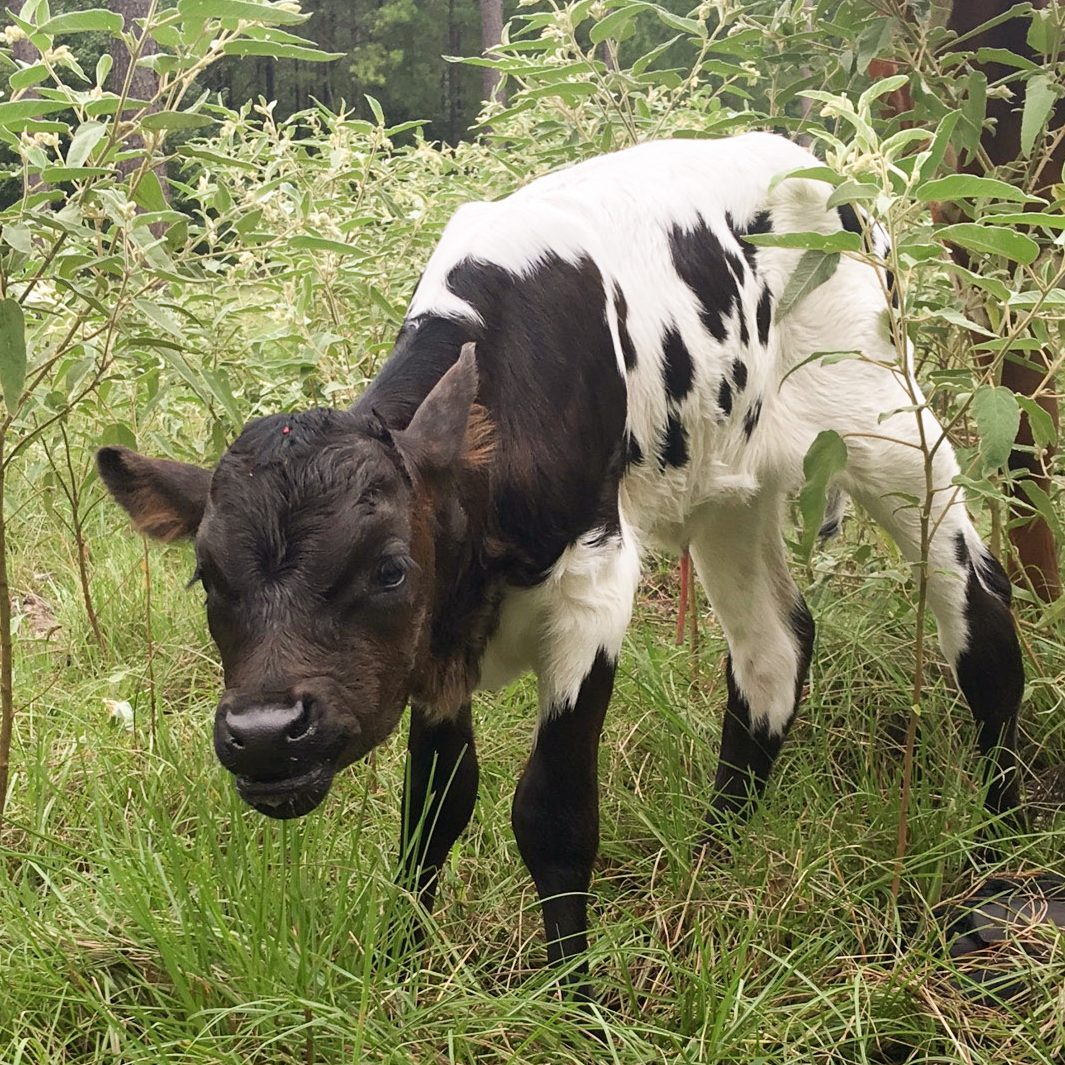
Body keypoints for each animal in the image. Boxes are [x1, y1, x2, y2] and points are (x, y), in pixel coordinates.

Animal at [100, 130, 1022, 979]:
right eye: (207, 578)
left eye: (390, 567)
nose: (263, 734)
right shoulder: (437, 640)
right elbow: (433, 808)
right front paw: (395, 968)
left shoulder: (593, 579)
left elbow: (551, 813)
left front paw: (571, 996)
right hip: (728, 488)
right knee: (772, 653)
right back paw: (708, 868)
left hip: (883, 415)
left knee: (980, 614)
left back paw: (998, 869)